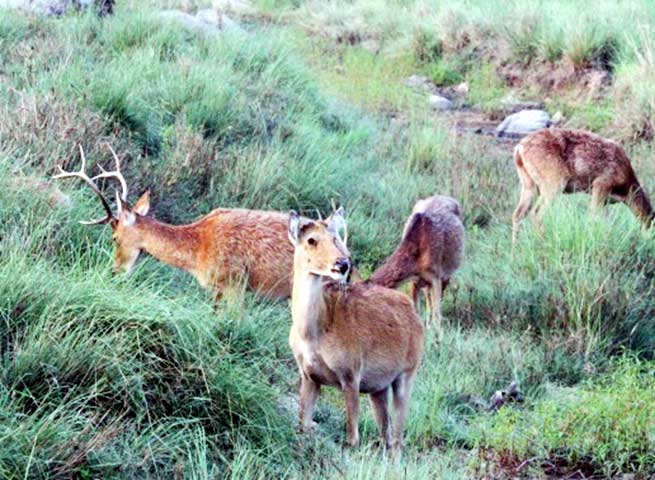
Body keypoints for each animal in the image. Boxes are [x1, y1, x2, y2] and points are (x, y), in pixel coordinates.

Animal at [288, 208, 422, 452]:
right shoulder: (308, 376)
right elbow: (302, 425)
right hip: (378, 388)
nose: (342, 264)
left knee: (398, 440)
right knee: (387, 436)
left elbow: (352, 439)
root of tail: (414, 314)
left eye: (335, 238)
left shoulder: (351, 375)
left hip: (407, 374)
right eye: (311, 240)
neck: (313, 333)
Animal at [368, 193, 466, 340]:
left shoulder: (436, 276)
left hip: (447, 272)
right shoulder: (415, 281)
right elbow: (416, 312)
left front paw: (439, 339)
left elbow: (437, 313)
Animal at [516, 126, 652, 244]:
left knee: (518, 214)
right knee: (538, 213)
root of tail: (519, 150)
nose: (646, 240)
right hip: (553, 180)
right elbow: (593, 215)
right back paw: (543, 242)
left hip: (529, 183)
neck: (625, 189)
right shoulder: (602, 183)